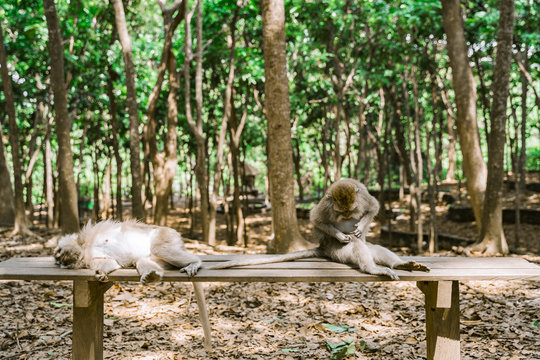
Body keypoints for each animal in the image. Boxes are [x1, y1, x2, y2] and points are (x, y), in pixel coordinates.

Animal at [53, 219, 201, 284]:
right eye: (59, 261)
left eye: (59, 254)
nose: (60, 261)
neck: (86, 248)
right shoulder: (92, 259)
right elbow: (112, 263)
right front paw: (102, 273)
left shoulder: (92, 236)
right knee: (142, 260)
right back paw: (151, 276)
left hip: (166, 234)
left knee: (159, 249)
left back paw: (196, 262)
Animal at [207, 179, 430, 280]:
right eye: (342, 212)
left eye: (351, 211)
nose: (347, 218)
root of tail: (323, 248)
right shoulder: (326, 206)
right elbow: (315, 219)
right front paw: (341, 234)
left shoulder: (364, 197)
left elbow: (373, 207)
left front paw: (360, 226)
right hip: (336, 251)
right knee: (355, 245)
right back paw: (372, 268)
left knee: (372, 248)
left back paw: (399, 264)